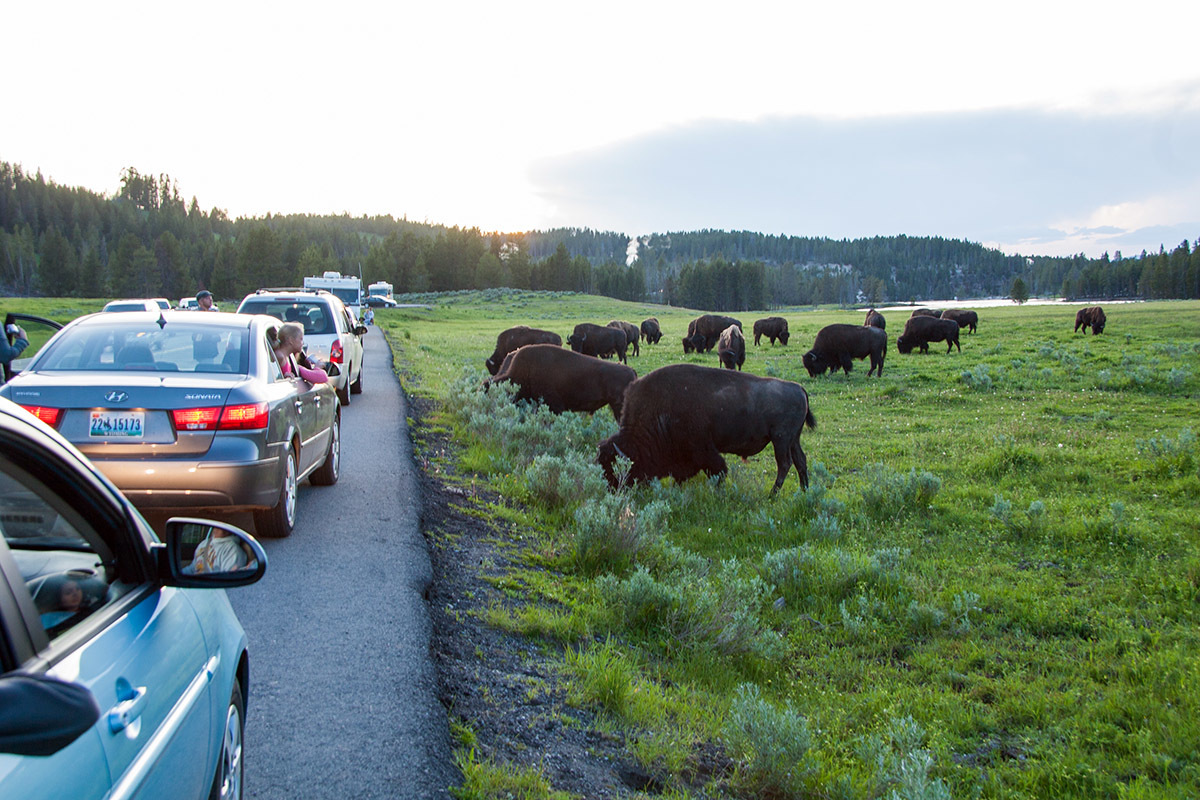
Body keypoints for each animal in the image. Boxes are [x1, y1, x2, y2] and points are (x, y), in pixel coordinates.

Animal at [597, 364, 816, 494]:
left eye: (613, 467)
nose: (610, 489)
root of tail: (799, 388)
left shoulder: (703, 449)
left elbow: (718, 469)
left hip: (781, 438)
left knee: (785, 464)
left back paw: (772, 495)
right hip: (793, 439)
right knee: (800, 461)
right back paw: (804, 490)